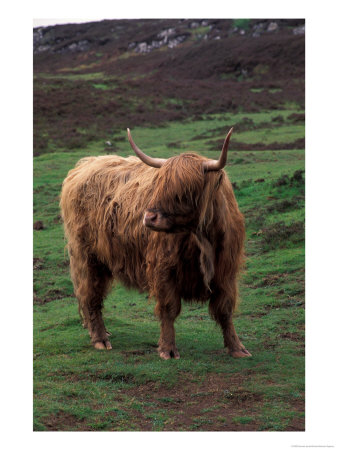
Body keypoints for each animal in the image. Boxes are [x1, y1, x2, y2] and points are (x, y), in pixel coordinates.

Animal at [60, 126, 251, 358]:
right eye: (158, 185)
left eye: (186, 190)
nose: (149, 217)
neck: (202, 239)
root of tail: (85, 165)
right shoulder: (163, 268)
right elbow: (169, 309)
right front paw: (168, 349)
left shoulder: (226, 271)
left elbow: (225, 310)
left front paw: (237, 348)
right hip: (86, 256)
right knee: (90, 295)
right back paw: (100, 338)